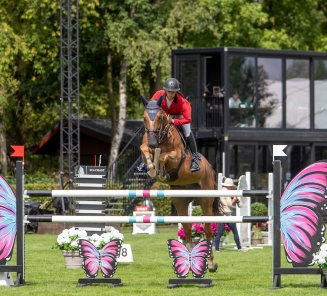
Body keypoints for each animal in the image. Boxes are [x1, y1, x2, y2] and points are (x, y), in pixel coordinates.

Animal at [140, 95, 222, 272]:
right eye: (144, 118)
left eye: (160, 117)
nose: (152, 143)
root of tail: (210, 167)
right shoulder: (145, 146)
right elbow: (144, 150)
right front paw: (150, 168)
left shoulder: (176, 157)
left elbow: (163, 156)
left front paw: (160, 171)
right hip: (181, 201)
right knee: (187, 228)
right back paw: (190, 260)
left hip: (205, 199)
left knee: (207, 229)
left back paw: (211, 263)